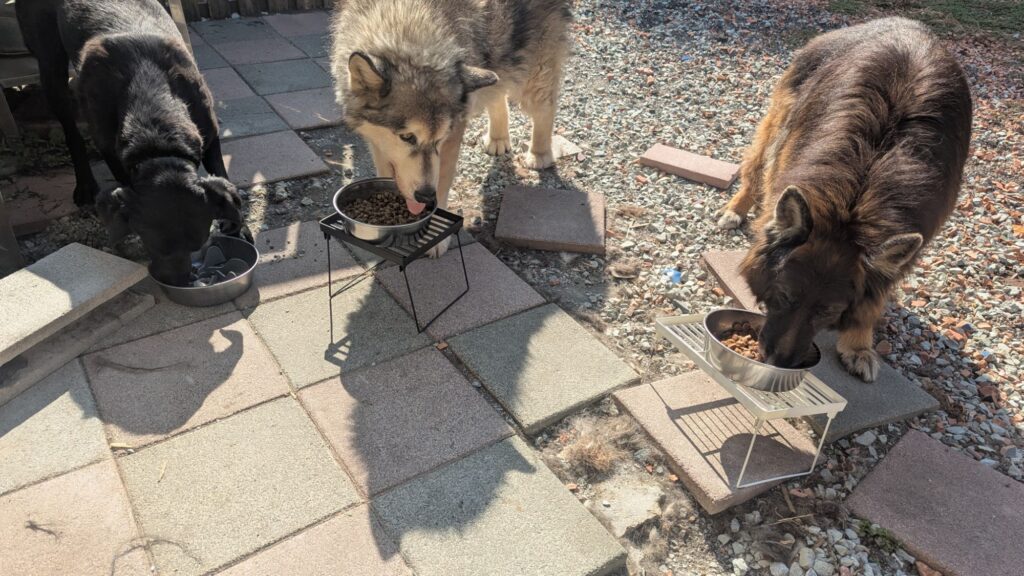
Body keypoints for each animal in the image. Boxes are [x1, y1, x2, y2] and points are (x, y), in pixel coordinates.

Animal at [17, 0, 244, 286]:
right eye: (152, 246)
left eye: (197, 245)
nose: (180, 281)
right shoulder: (110, 147)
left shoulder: (209, 134)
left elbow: (221, 174)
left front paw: (239, 230)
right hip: (49, 64)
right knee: (70, 129)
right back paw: (84, 185)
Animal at [330, 0, 572, 256]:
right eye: (407, 137)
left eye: (440, 138)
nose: (425, 196)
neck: (407, 29)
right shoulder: (378, 142)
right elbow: (387, 172)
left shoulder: (453, 134)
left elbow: (443, 180)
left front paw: (436, 239)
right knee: (498, 92)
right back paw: (498, 139)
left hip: (534, 73)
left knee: (545, 108)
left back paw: (539, 154)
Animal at [715, 18, 972, 382]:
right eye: (784, 296)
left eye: (828, 313)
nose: (778, 362)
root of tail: (906, 22)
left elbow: (875, 298)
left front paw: (858, 344)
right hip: (781, 117)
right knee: (754, 164)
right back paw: (735, 209)